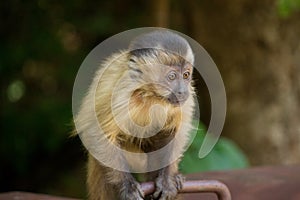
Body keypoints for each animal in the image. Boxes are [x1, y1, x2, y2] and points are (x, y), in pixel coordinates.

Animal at [74, 30, 196, 200]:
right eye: (171, 77)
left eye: (185, 75)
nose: (182, 91)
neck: (152, 94)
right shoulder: (123, 92)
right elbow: (97, 133)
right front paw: (127, 186)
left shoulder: (186, 98)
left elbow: (177, 132)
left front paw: (167, 181)